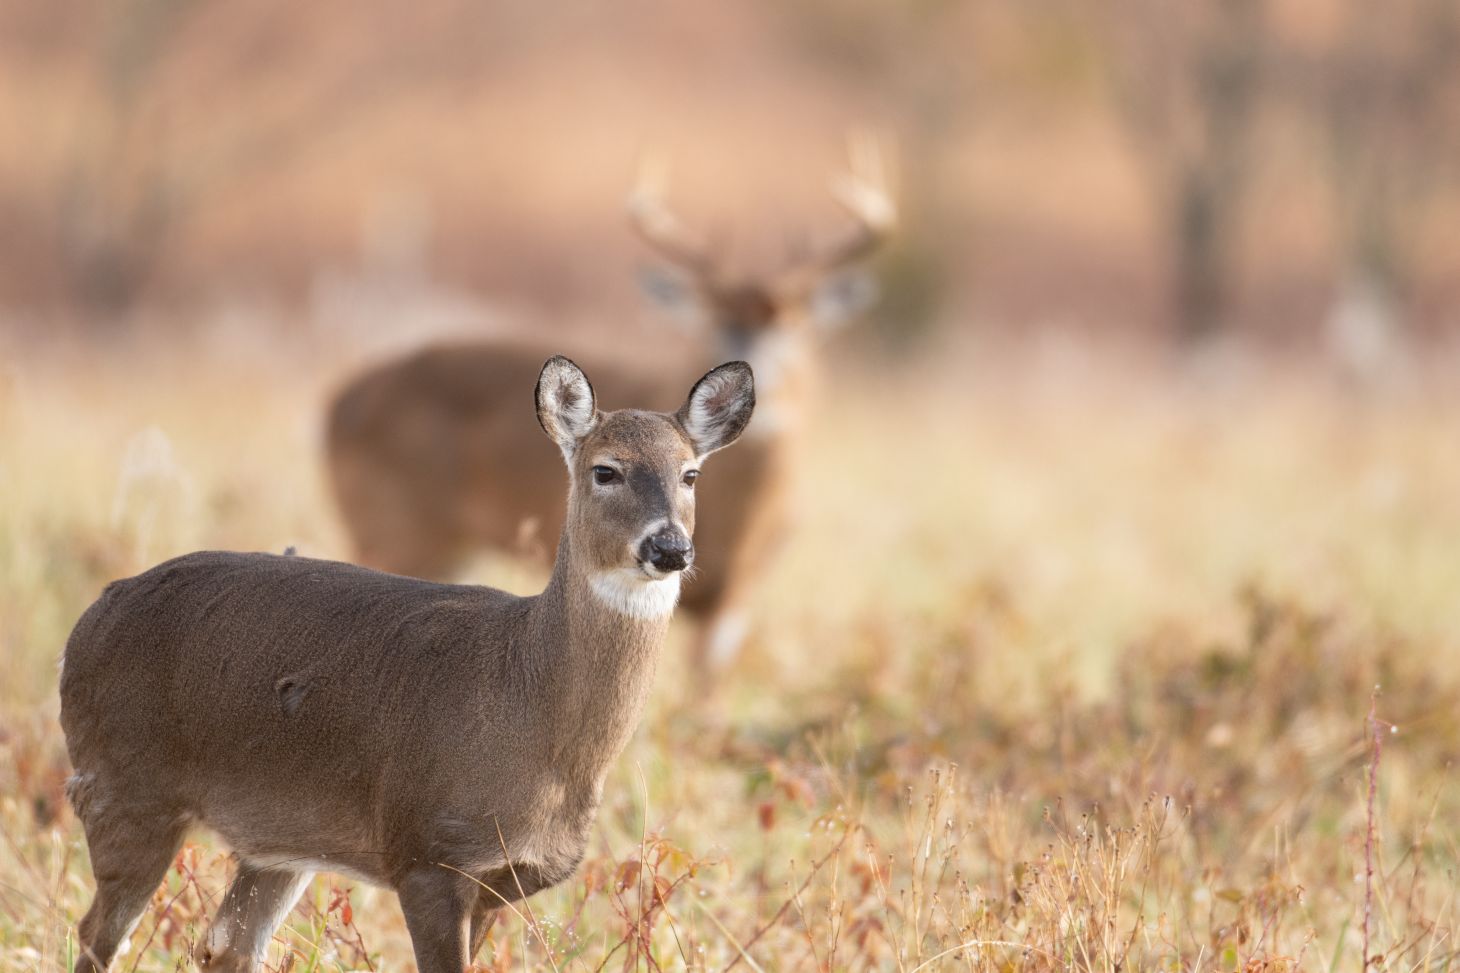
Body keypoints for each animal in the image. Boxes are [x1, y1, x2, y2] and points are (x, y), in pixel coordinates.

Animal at [59, 356, 754, 973]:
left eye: (691, 474)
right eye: (605, 470)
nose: (669, 547)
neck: (528, 703)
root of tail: (89, 620)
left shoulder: (502, 881)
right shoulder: (428, 855)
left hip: (277, 840)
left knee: (225, 947)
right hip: (127, 788)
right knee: (94, 935)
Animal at [326, 137, 894, 675]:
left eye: (796, 320)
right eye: (712, 317)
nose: (747, 344)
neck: (742, 523)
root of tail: (336, 404)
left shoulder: (741, 591)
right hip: (387, 525)